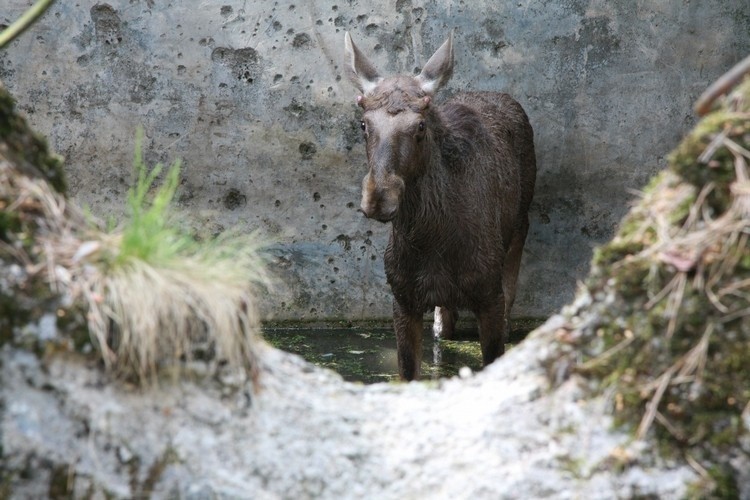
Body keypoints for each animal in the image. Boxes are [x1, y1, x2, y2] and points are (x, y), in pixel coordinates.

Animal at [344, 31, 536, 378]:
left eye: (420, 126)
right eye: (363, 124)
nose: (379, 197)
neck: (431, 240)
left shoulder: (489, 296)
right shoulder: (403, 298)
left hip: (520, 223)